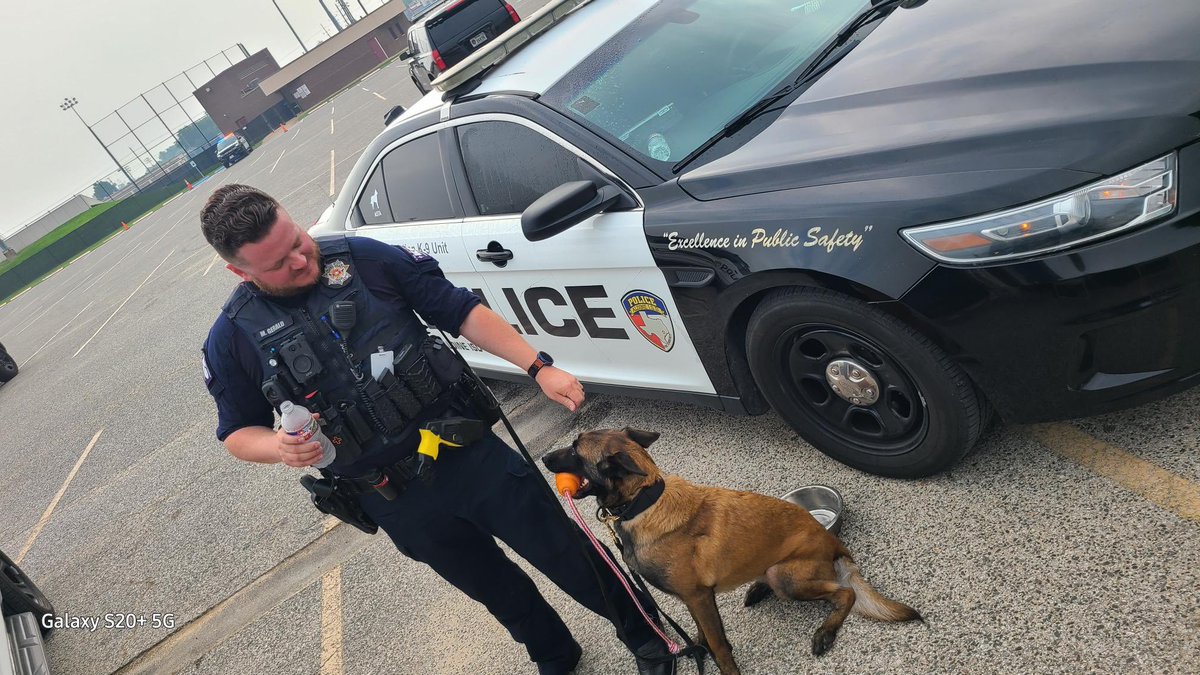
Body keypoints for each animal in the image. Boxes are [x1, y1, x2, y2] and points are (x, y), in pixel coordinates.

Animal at [544, 425, 916, 672]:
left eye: (575, 450)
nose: (545, 457)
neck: (644, 500)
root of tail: (834, 542)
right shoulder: (695, 598)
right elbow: (700, 632)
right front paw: (696, 647)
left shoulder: (697, 596)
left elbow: (720, 644)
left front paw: (724, 667)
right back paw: (757, 589)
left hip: (785, 575)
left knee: (844, 593)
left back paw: (825, 630)